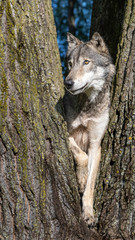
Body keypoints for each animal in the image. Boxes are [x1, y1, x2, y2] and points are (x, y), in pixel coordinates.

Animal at [63, 32, 115, 226]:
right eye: (70, 64)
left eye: (86, 62)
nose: (68, 83)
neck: (87, 105)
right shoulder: (68, 133)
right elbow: (82, 156)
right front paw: (82, 178)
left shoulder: (95, 144)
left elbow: (90, 187)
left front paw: (89, 214)